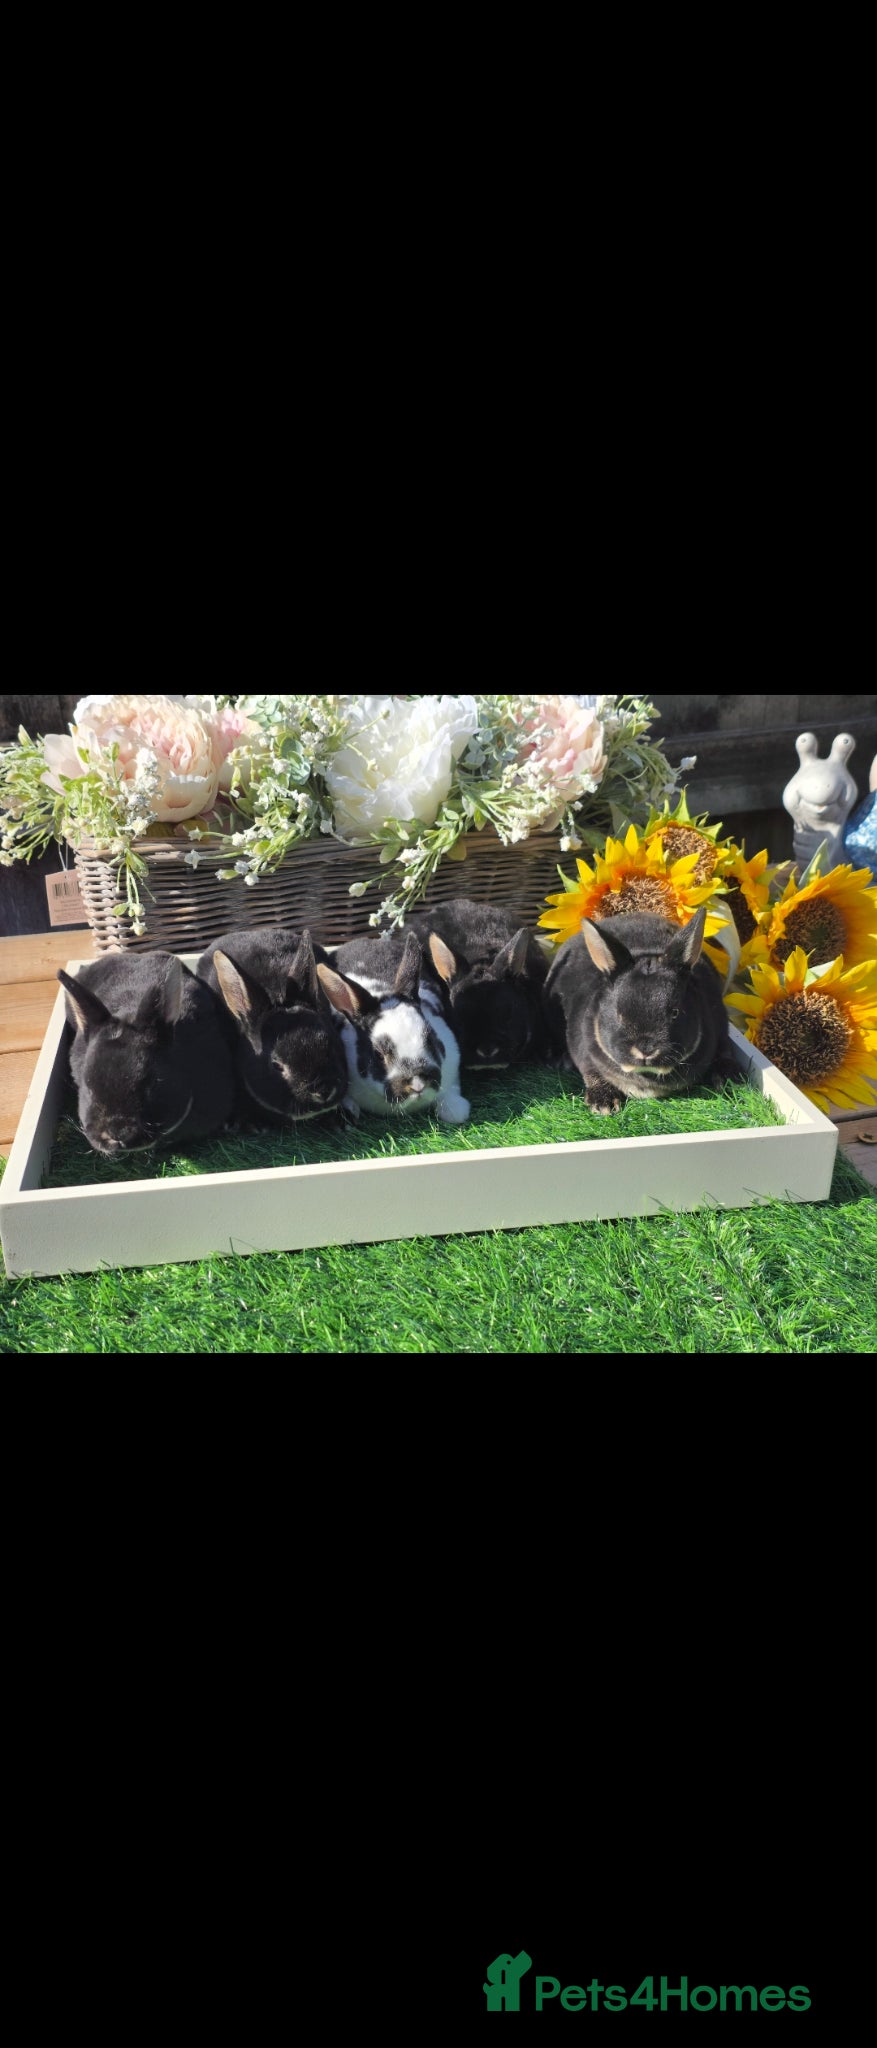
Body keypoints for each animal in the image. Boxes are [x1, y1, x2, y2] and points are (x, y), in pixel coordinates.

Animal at [316, 930, 470, 1123]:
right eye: (378, 1055)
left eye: (432, 1040)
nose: (417, 1084)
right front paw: (349, 1110)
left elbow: (454, 1110)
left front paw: (457, 1108)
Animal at [541, 906, 735, 1114]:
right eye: (618, 1015)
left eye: (675, 1012)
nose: (646, 1050)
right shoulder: (585, 1054)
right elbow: (592, 1073)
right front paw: (603, 1104)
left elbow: (724, 1052)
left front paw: (730, 1081)